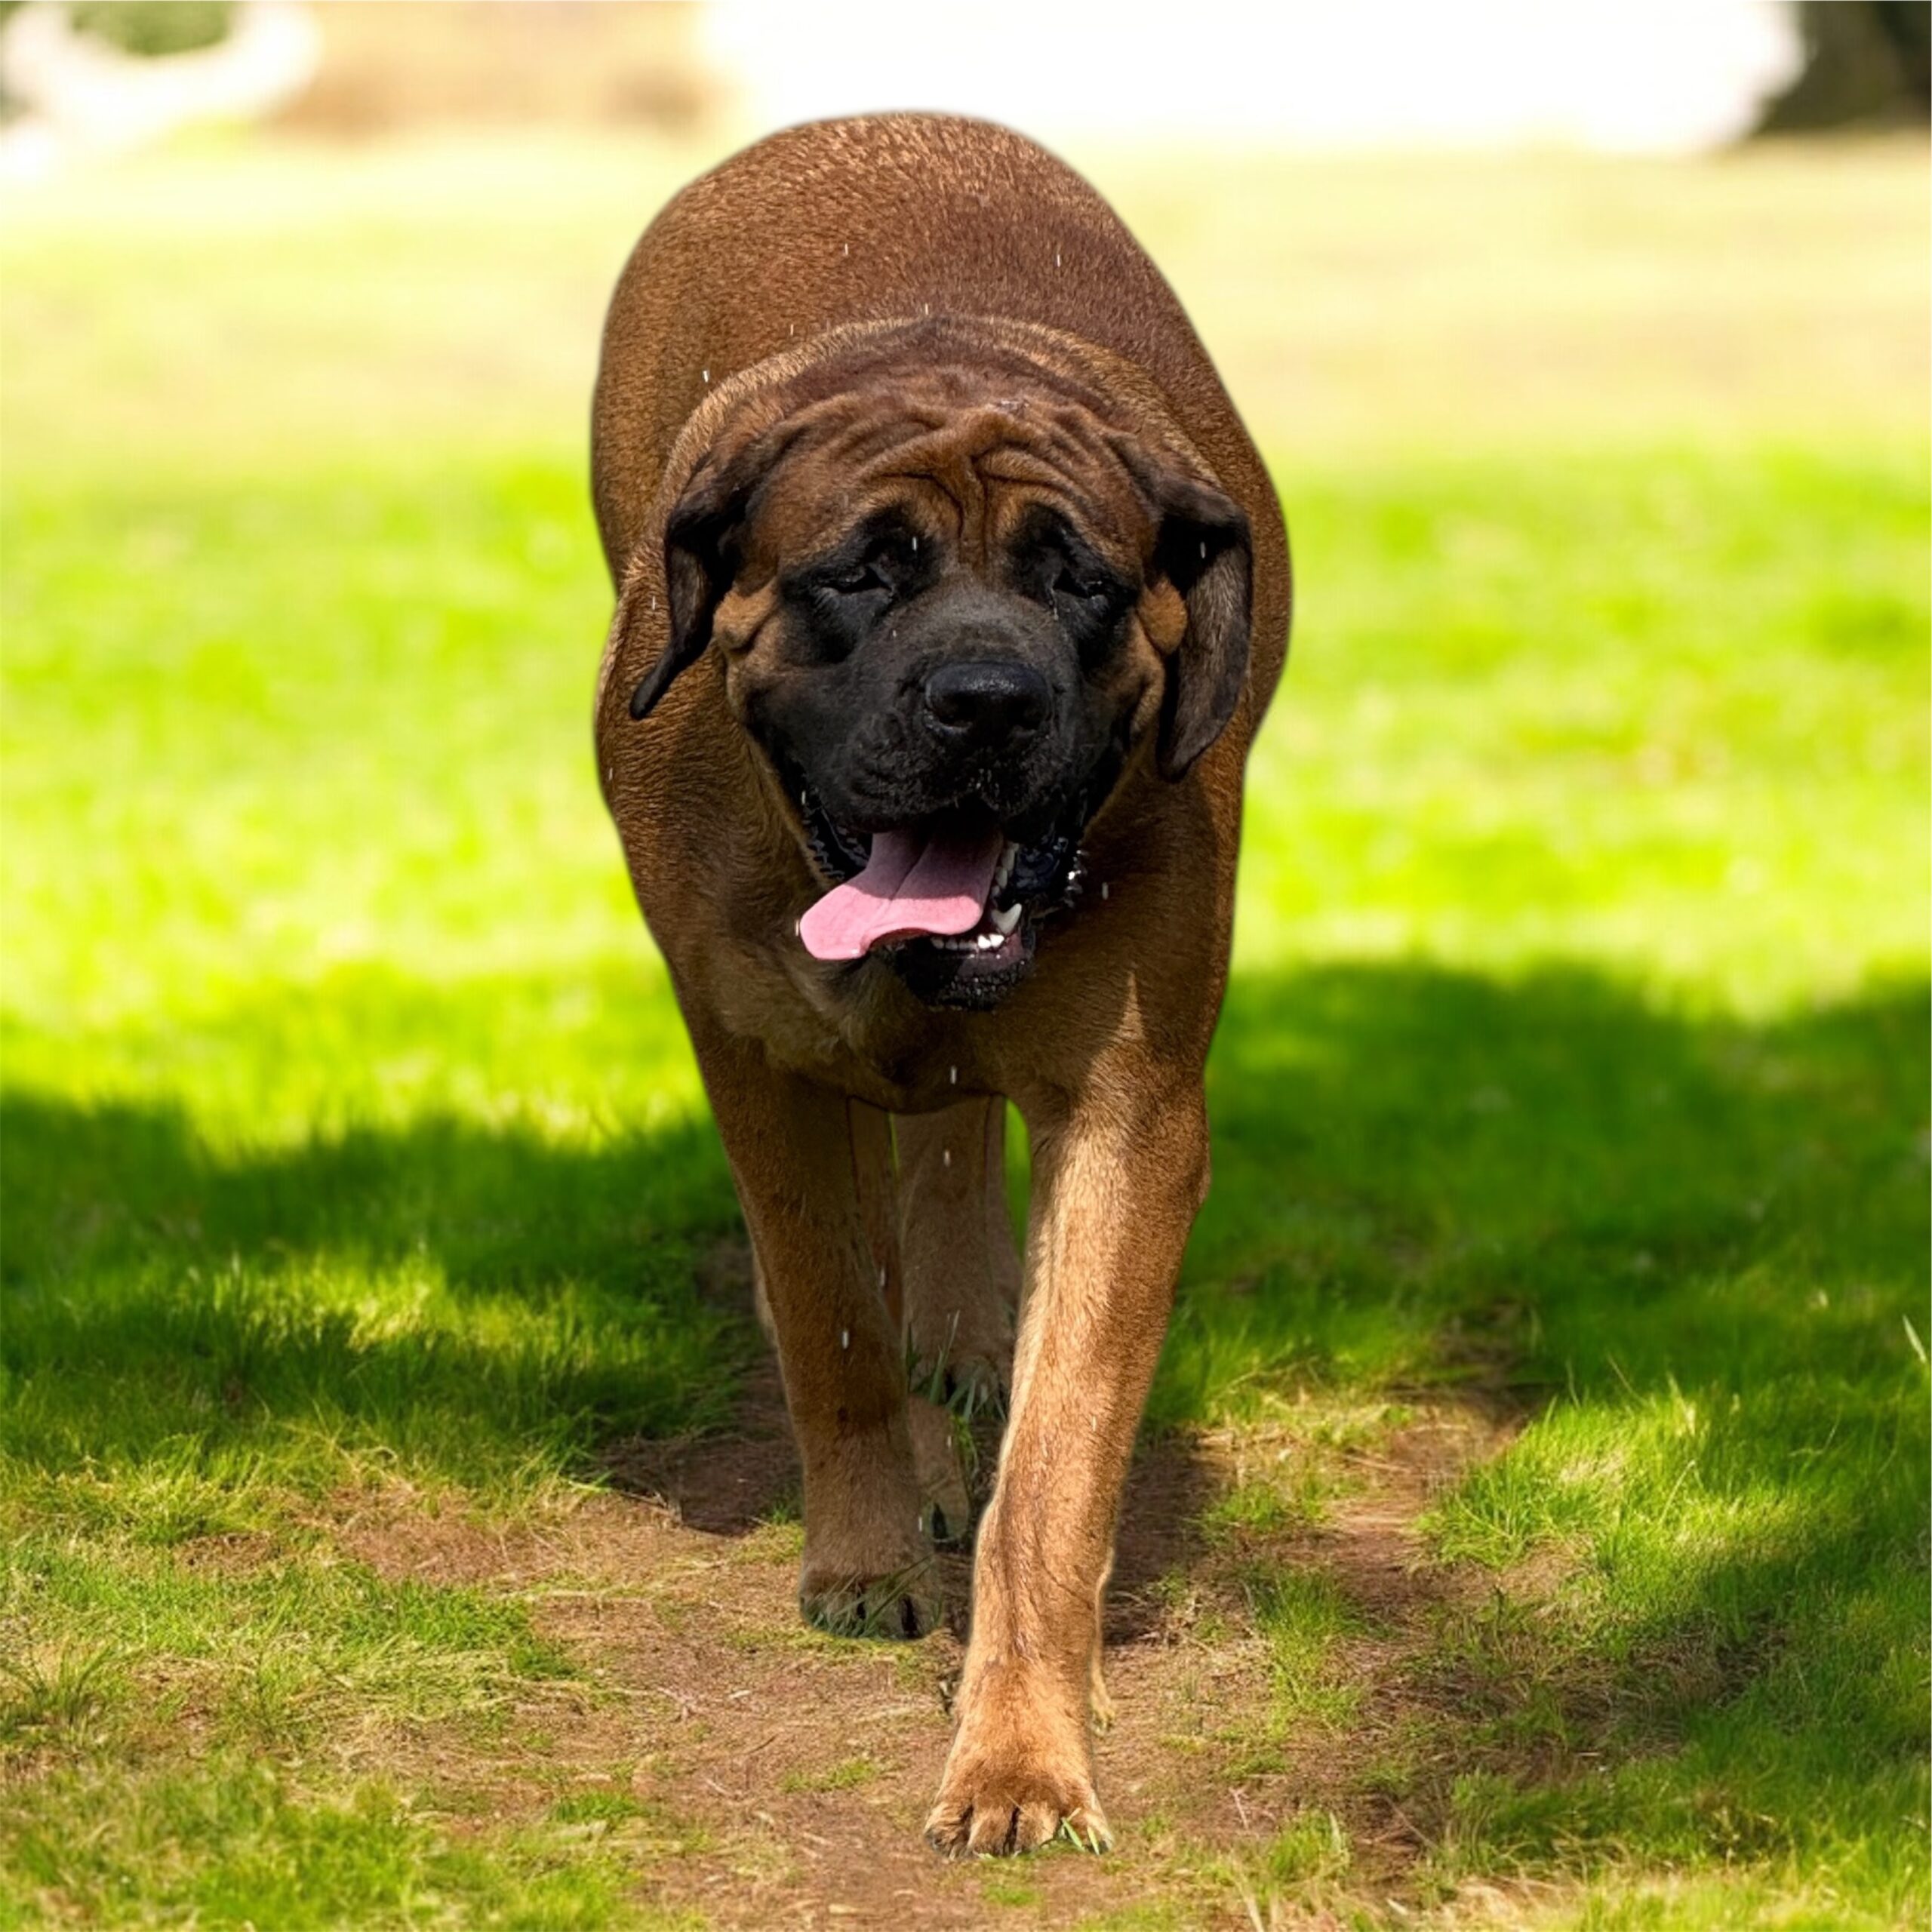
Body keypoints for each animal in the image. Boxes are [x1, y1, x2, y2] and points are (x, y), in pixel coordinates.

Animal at [591, 113, 1290, 1857]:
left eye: (1082, 584)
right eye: (862, 575)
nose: (983, 698)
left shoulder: (1134, 1116)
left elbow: (1055, 1469)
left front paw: (1025, 1745)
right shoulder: (752, 1058)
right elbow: (829, 1314)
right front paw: (862, 1552)